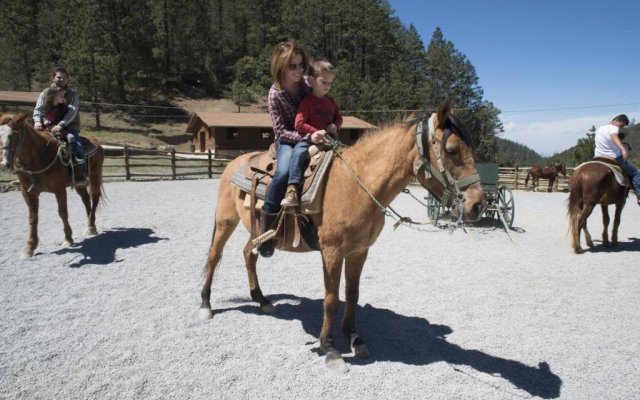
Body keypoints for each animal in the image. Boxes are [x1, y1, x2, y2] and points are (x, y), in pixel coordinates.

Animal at [0, 112, 104, 258]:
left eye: (14, 134)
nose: (4, 164)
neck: (37, 158)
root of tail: (96, 142)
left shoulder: (59, 189)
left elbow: (63, 213)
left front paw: (68, 238)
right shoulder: (27, 192)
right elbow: (33, 218)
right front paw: (29, 247)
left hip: (95, 176)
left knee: (94, 198)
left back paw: (90, 227)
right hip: (79, 183)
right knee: (85, 200)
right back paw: (91, 225)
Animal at [198, 101, 488, 372]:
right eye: (451, 150)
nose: (477, 205)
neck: (358, 184)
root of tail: (233, 163)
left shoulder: (359, 251)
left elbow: (352, 294)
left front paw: (354, 337)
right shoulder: (332, 252)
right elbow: (331, 300)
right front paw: (329, 347)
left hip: (257, 230)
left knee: (249, 254)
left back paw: (262, 300)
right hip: (225, 221)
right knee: (214, 256)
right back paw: (206, 304)